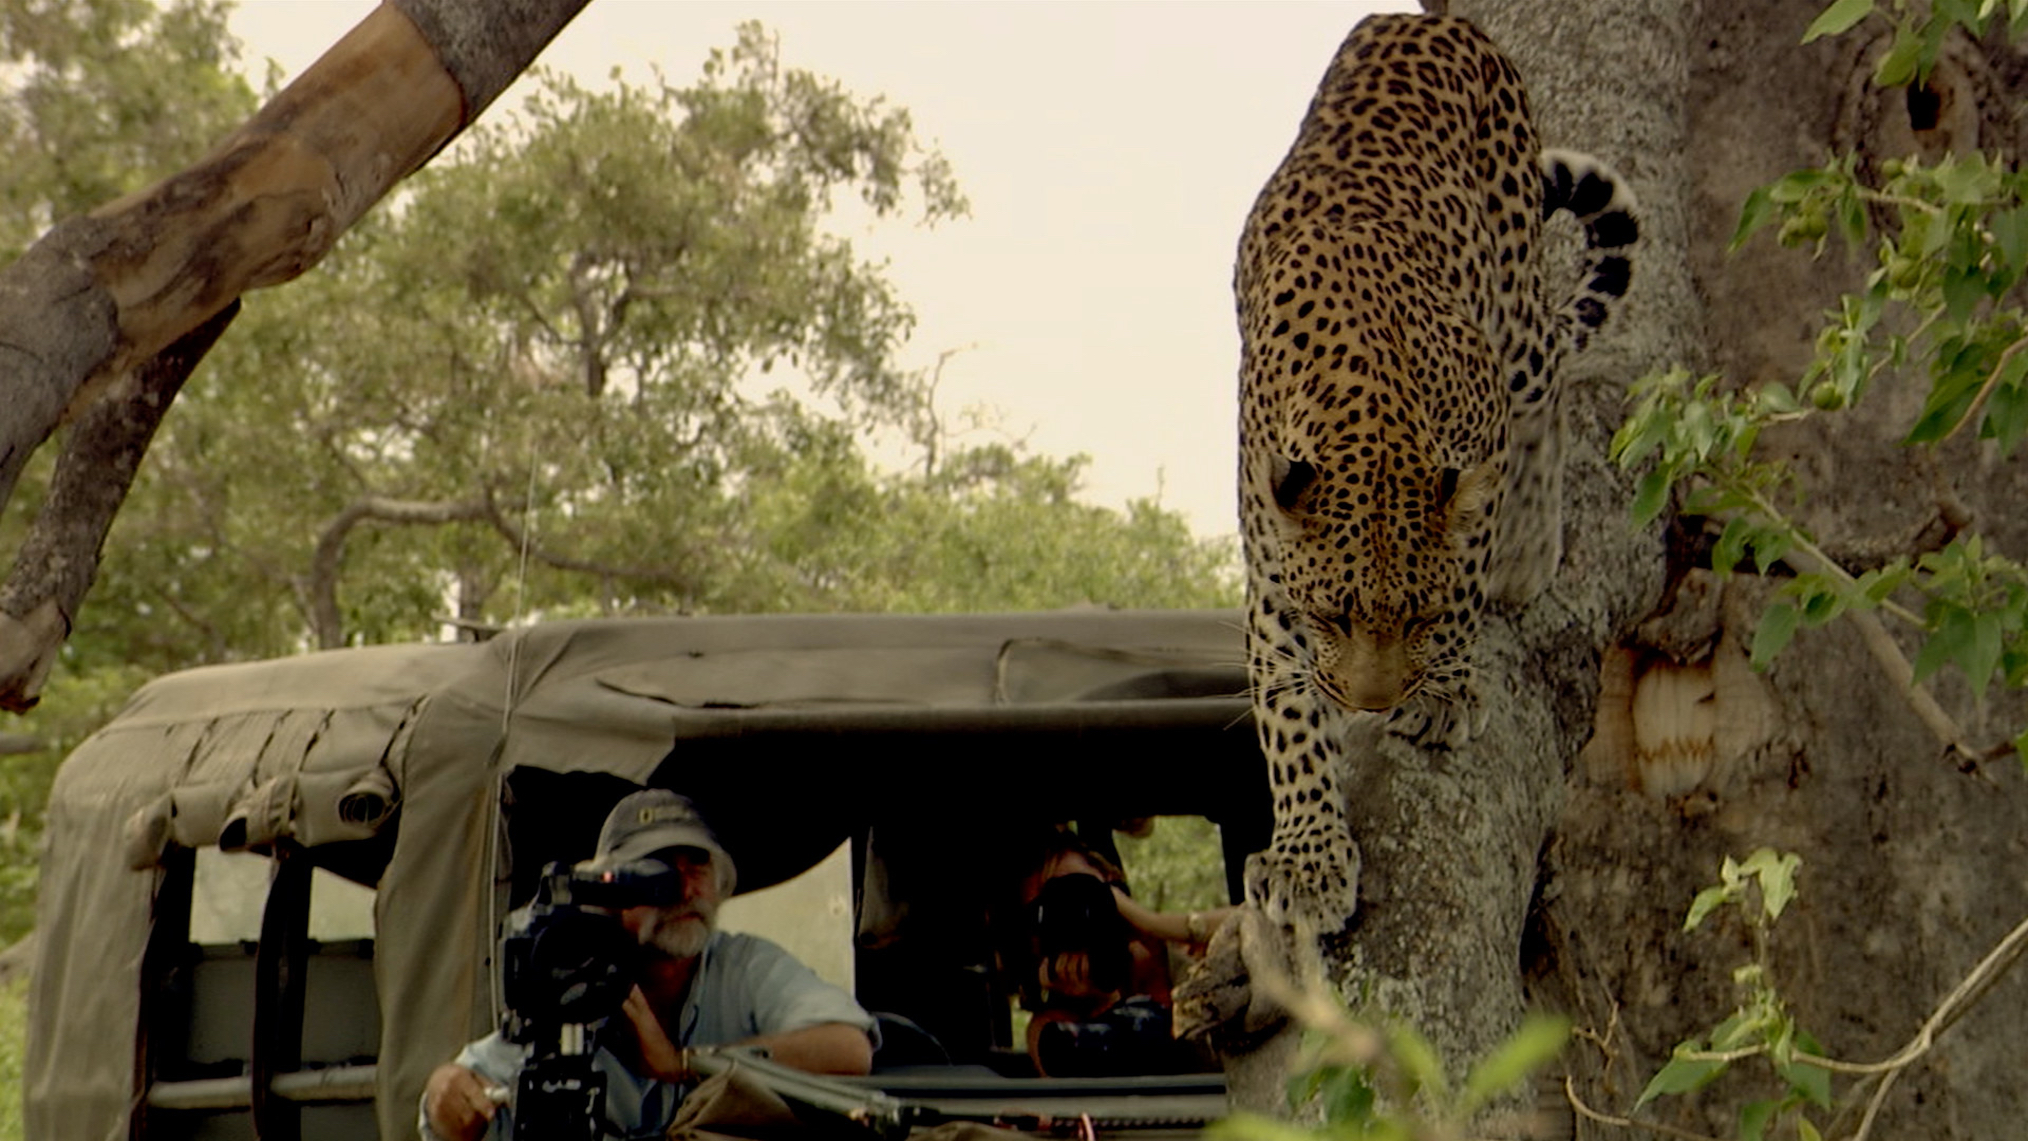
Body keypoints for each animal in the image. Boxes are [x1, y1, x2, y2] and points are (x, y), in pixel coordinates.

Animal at [1224, 15, 1638, 928]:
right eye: (1331, 615)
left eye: (1415, 615)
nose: (1371, 704)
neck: (1367, 422)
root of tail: (1425, 20)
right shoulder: (1269, 557)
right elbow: (1284, 704)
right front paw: (1309, 855)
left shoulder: (1478, 440)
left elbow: (1467, 571)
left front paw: (1446, 688)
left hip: (1516, 307)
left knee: (1553, 379)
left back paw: (1530, 551)